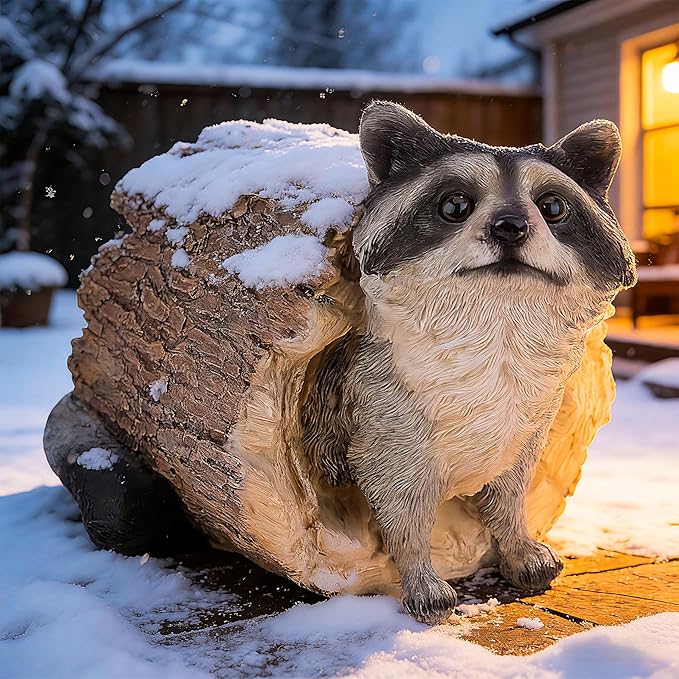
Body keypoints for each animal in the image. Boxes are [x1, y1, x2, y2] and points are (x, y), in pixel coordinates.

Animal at [303, 101, 636, 624]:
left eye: (553, 207)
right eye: (454, 205)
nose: (510, 226)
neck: (496, 322)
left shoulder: (529, 422)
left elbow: (510, 488)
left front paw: (516, 541)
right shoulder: (383, 413)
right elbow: (401, 506)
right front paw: (419, 573)